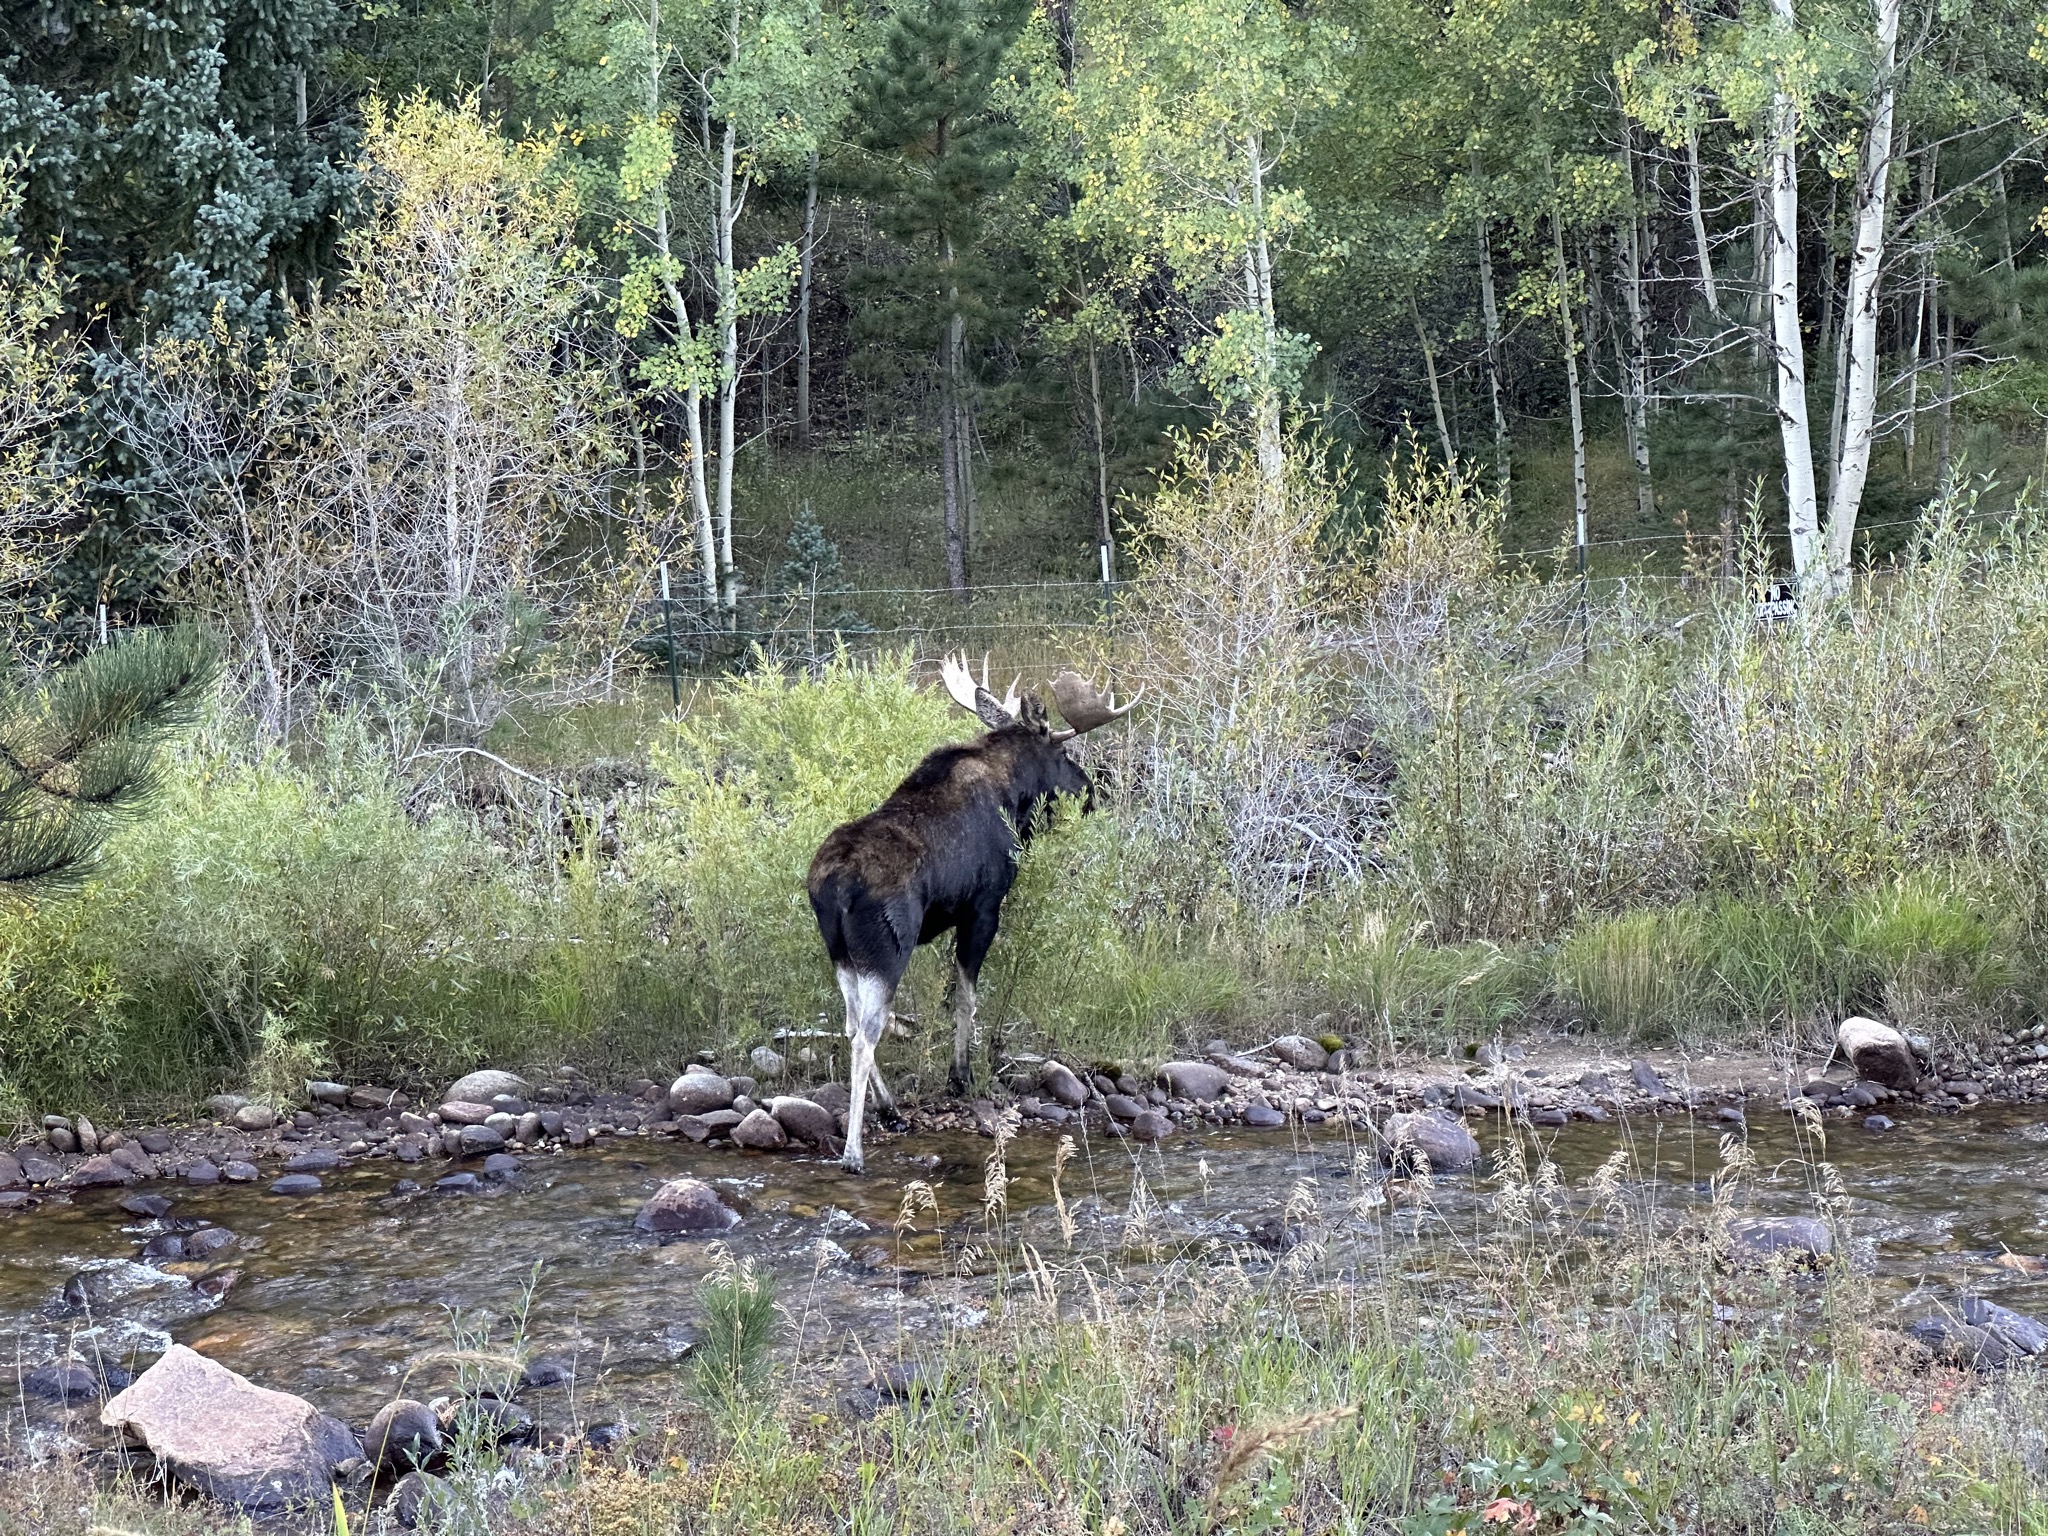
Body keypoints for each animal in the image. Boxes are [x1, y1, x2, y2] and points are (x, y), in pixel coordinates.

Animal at [807, 654, 1140, 1172]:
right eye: (1065, 753)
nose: (1090, 793)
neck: (1016, 797)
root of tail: (833, 885)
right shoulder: (983, 907)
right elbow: (966, 997)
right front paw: (959, 1076)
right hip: (887, 950)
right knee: (865, 1035)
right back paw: (854, 1152)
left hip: (839, 951)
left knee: (848, 1024)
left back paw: (892, 1111)